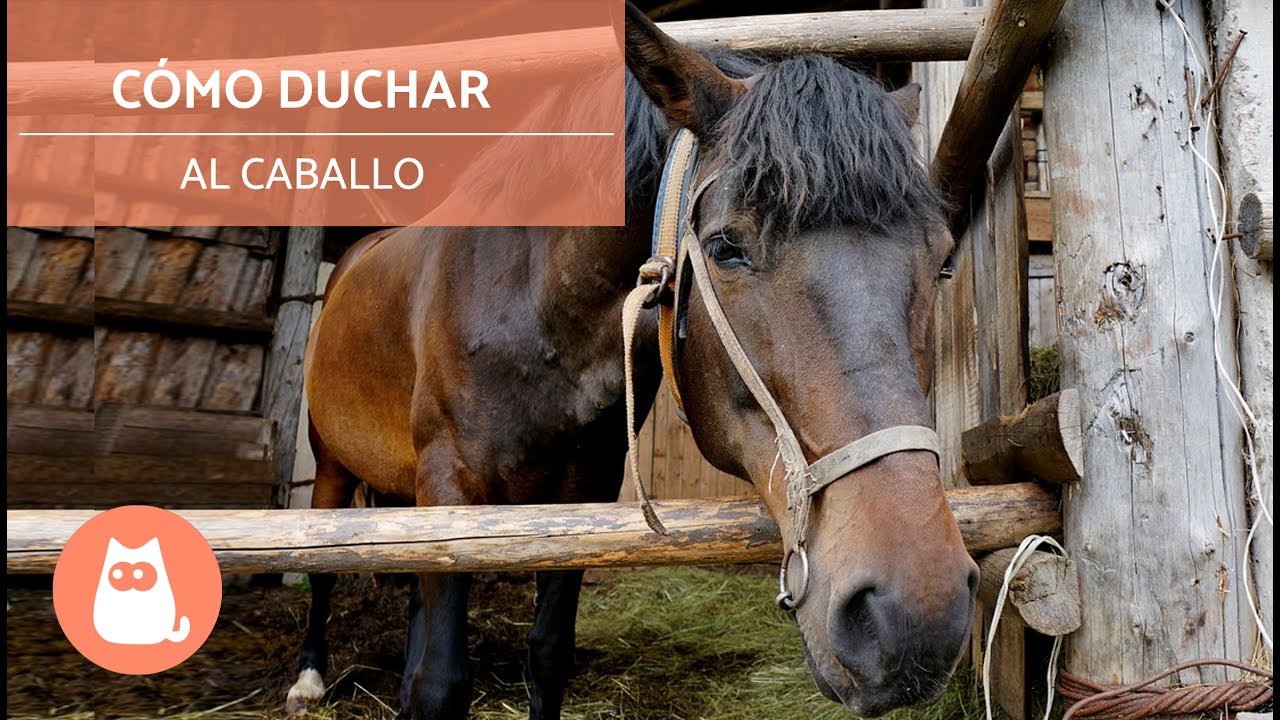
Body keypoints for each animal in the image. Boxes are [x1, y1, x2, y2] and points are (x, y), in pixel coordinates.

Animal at [288, 5, 979, 719]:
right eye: (726, 247)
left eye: (943, 260)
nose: (914, 613)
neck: (531, 304)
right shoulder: (452, 486)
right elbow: (442, 680)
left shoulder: (584, 492)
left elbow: (547, 655)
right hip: (334, 465)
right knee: (323, 567)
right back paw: (308, 678)